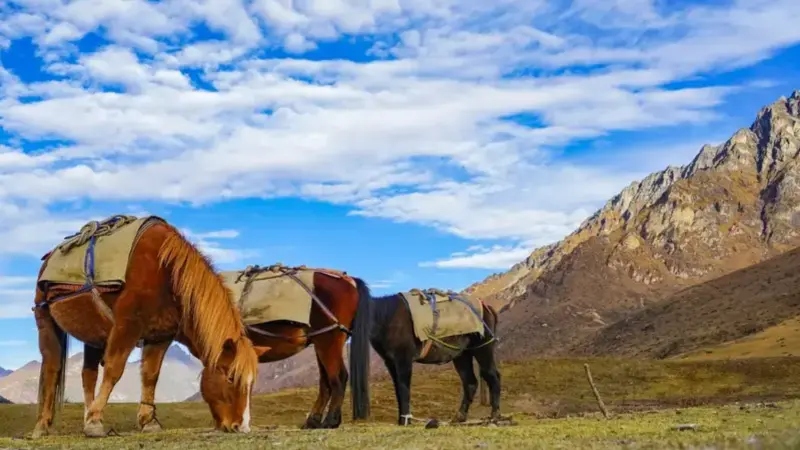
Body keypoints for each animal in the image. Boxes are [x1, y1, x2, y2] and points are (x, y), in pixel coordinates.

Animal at [31, 216, 264, 438]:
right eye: (231, 377)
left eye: (252, 384)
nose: (241, 426)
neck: (167, 275)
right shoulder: (127, 326)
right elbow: (114, 370)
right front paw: (95, 421)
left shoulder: (160, 336)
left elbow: (151, 376)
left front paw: (148, 421)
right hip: (47, 321)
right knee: (52, 368)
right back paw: (43, 425)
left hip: (93, 333)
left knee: (88, 375)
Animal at [79, 264, 374, 432]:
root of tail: (347, 279)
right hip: (321, 341)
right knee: (326, 381)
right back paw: (313, 420)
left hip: (329, 340)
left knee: (338, 378)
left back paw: (330, 421)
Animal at [368, 292, 500, 426]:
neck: (386, 317)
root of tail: (487, 307)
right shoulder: (390, 361)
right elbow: (397, 390)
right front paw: (401, 419)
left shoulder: (403, 359)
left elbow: (403, 388)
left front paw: (405, 420)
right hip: (462, 354)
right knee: (470, 382)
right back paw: (460, 416)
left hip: (482, 348)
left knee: (493, 375)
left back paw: (495, 414)